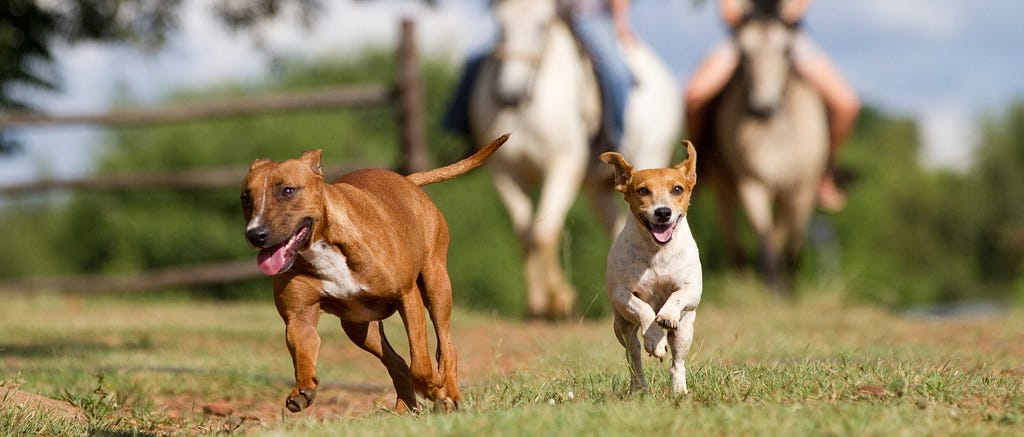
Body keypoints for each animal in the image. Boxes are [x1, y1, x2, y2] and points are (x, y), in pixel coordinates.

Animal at [240, 134, 512, 413]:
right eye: (245, 198)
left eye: (287, 190)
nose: (255, 234)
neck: (323, 245)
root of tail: (407, 180)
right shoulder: (299, 317)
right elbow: (304, 354)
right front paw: (303, 389)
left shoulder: (407, 296)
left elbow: (421, 364)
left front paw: (435, 387)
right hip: (359, 327)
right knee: (397, 362)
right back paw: (406, 409)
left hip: (437, 287)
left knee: (445, 347)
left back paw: (451, 395)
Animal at [468, 0, 679, 317]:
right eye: (499, 25)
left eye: (542, 26)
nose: (509, 94)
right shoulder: (505, 173)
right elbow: (525, 234)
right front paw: (537, 305)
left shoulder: (562, 167)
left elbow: (544, 232)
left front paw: (560, 300)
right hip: (599, 192)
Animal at [598, 142, 704, 395]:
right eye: (643, 190)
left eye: (678, 189)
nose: (663, 212)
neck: (657, 252)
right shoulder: (620, 294)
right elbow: (643, 308)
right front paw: (655, 338)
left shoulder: (692, 290)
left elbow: (677, 296)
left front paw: (665, 315)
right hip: (622, 327)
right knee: (634, 353)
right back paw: (640, 386)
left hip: (685, 331)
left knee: (677, 361)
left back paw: (679, 389)